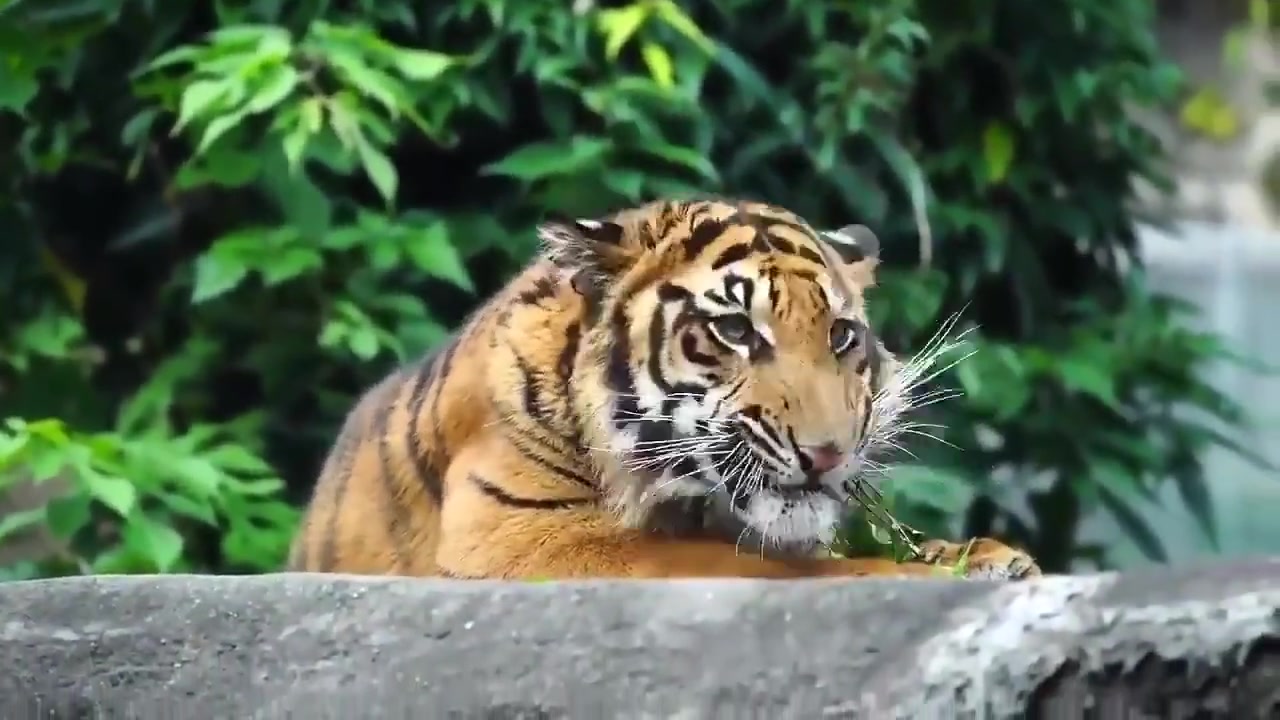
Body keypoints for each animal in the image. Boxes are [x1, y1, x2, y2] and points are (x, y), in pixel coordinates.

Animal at [286, 197, 1041, 581]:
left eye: (840, 337)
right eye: (734, 329)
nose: (828, 455)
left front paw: (989, 557)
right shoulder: (521, 536)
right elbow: (772, 567)